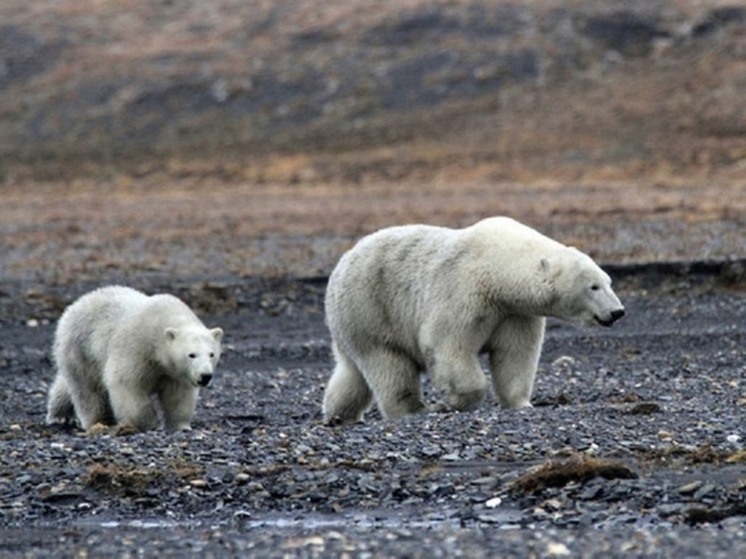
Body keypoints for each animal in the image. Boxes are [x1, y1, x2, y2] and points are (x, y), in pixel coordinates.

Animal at [45, 286, 221, 430]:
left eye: (212, 354)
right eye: (191, 354)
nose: (205, 376)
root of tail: (73, 306)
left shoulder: (175, 372)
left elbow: (178, 395)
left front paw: (181, 425)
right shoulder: (136, 347)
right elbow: (126, 383)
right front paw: (148, 423)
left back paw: (60, 414)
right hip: (81, 348)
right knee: (88, 389)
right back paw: (98, 421)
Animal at [322, 218, 624, 424]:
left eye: (608, 281)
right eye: (594, 286)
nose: (618, 312)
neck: (499, 271)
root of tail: (341, 264)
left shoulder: (514, 313)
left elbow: (515, 355)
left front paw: (522, 403)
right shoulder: (464, 292)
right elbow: (447, 346)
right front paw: (456, 401)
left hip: (352, 324)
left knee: (351, 372)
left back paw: (338, 414)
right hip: (371, 308)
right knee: (389, 365)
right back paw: (415, 409)